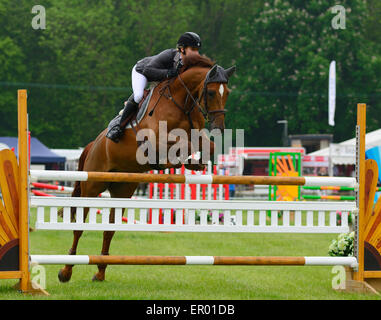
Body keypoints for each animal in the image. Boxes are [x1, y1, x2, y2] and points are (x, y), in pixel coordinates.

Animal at [58, 53, 235, 282]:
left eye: (227, 93)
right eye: (212, 92)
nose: (219, 127)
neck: (182, 102)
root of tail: (93, 145)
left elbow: (206, 145)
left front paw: (195, 162)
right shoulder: (157, 141)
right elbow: (183, 144)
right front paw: (183, 161)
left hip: (122, 191)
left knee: (109, 230)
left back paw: (100, 272)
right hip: (92, 187)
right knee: (78, 227)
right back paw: (65, 271)